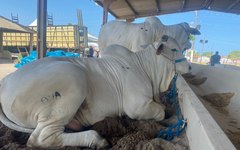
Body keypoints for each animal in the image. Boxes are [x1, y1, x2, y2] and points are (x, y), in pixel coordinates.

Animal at [0, 35, 190, 149]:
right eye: (174, 49)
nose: (188, 66)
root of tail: (5, 81)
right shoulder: (137, 106)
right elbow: (160, 112)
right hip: (72, 80)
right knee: (41, 138)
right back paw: (96, 139)